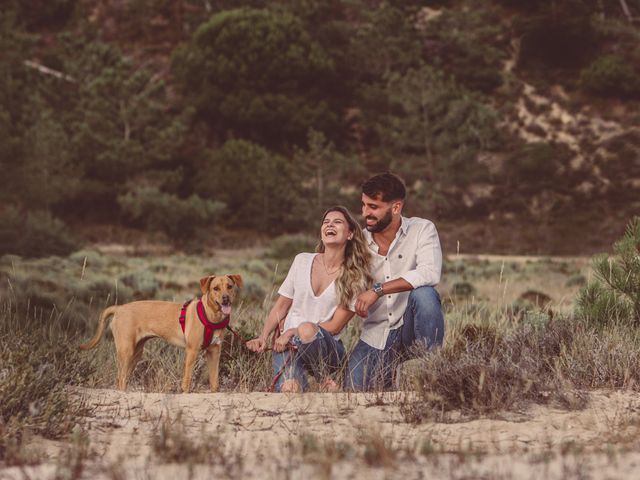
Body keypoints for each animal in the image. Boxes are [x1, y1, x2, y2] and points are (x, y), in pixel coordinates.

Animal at [79, 276, 241, 392]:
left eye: (229, 286)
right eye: (216, 288)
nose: (226, 298)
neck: (212, 316)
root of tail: (119, 308)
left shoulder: (214, 352)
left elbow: (214, 382)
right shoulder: (192, 351)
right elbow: (187, 380)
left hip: (136, 354)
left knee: (123, 379)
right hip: (126, 351)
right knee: (121, 379)